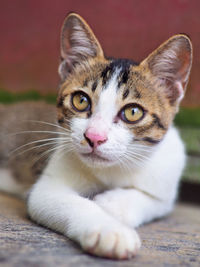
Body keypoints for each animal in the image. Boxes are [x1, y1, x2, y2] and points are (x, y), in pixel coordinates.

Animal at [0, 13, 193, 260]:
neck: (112, 170)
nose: (94, 137)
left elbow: (153, 200)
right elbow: (68, 202)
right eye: (81, 100)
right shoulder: (47, 186)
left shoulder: (166, 177)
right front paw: (110, 231)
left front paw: (110, 204)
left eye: (133, 112)